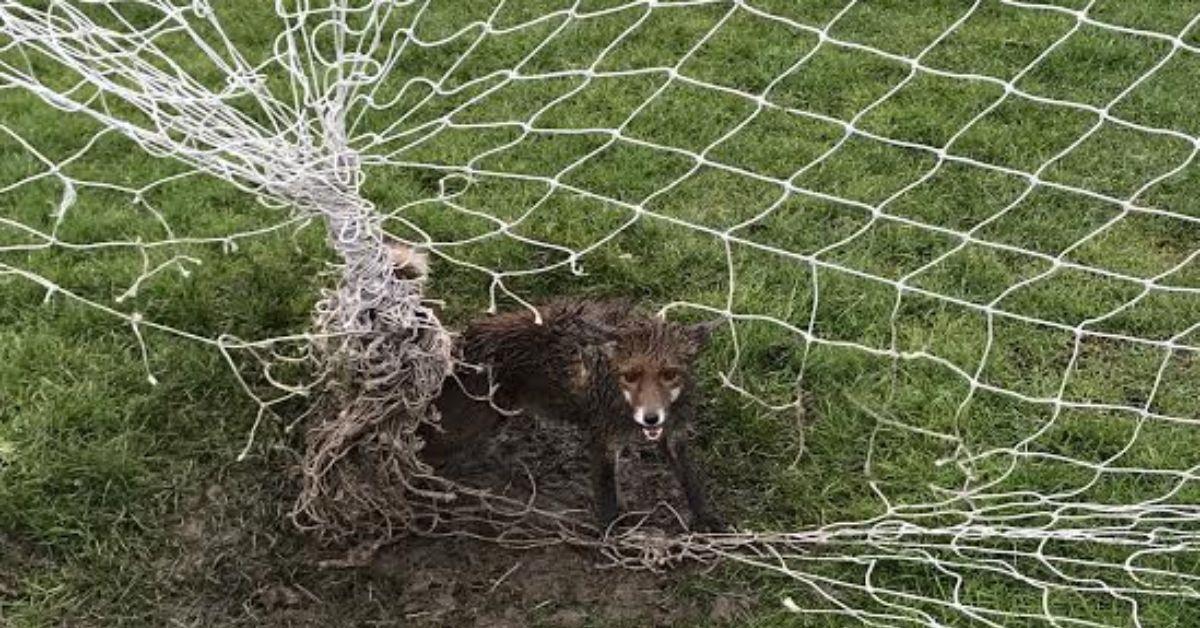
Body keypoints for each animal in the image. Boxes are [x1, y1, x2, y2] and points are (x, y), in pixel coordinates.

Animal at [387, 242, 724, 531]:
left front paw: (709, 523)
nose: (651, 418)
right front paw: (612, 537)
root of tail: (461, 341)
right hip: (464, 426)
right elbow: (608, 504)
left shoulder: (673, 436)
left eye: (670, 374)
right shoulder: (603, 440)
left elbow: (692, 484)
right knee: (416, 446)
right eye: (630, 376)